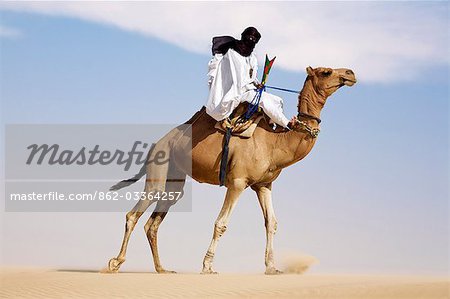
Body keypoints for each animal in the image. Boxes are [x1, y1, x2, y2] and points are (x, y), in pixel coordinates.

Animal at [107, 67, 356, 276]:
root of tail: (156, 143)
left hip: (175, 180)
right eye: (326, 72)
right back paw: (115, 263)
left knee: (153, 223)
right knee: (134, 214)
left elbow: (272, 223)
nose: (350, 73)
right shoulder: (237, 181)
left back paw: (162, 269)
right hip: (159, 169)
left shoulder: (263, 185)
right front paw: (207, 266)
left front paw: (272, 268)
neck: (276, 142)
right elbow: (221, 223)